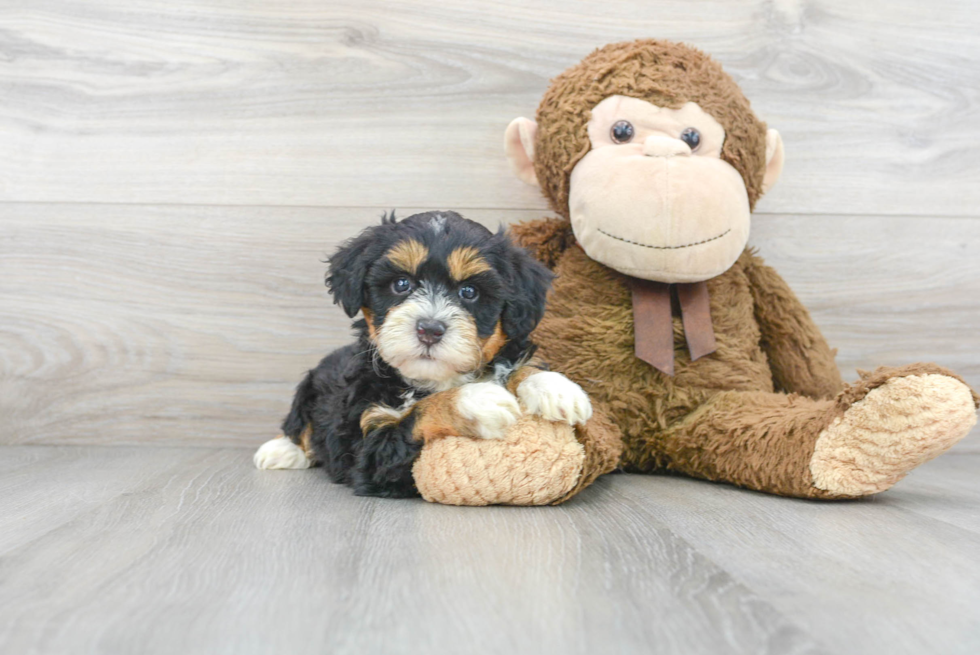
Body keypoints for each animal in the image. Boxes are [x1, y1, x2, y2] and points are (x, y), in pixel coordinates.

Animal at [255, 210, 588, 498]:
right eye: (401, 284)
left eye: (469, 292)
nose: (429, 329)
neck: (432, 381)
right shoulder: (371, 449)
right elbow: (420, 413)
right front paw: (474, 400)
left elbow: (522, 367)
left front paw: (556, 388)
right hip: (309, 387)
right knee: (297, 424)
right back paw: (280, 451)